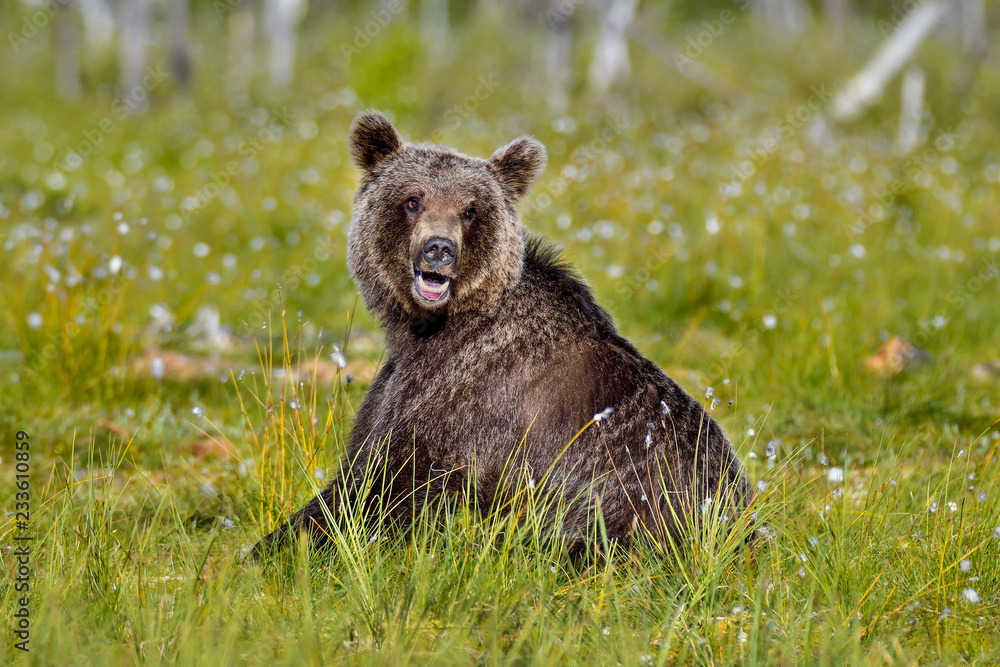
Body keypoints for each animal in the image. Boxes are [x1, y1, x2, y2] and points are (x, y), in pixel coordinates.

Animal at [255, 111, 751, 557]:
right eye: (413, 199)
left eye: (470, 210)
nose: (439, 248)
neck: (428, 328)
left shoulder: (465, 407)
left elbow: (379, 486)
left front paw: (269, 547)